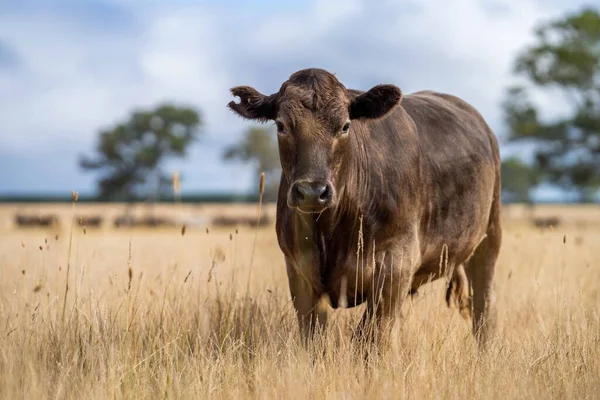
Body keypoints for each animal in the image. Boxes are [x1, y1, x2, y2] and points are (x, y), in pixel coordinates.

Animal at [227, 68, 500, 346]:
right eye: (281, 126)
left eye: (345, 126)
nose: (313, 192)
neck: (331, 231)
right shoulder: (298, 272)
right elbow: (313, 338)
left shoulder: (396, 265)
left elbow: (369, 338)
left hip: (488, 238)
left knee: (484, 307)